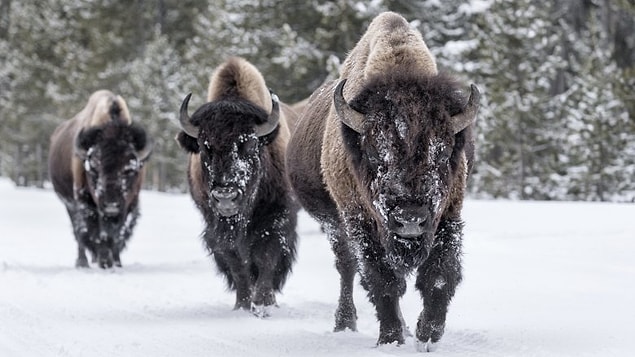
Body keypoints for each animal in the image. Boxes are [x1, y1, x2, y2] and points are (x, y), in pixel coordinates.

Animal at [48, 90, 153, 268]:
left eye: (130, 170)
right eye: (94, 169)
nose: (111, 205)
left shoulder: (128, 205)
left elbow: (117, 234)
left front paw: (115, 262)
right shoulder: (85, 203)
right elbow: (96, 233)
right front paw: (104, 261)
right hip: (69, 204)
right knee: (78, 232)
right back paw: (83, 262)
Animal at [176, 55, 300, 314]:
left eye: (250, 144)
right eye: (204, 146)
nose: (225, 196)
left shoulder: (278, 217)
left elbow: (266, 256)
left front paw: (264, 303)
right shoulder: (215, 226)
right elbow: (237, 261)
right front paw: (242, 304)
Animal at [286, 11, 480, 350]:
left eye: (443, 153)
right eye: (376, 153)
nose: (410, 218)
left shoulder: (448, 216)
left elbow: (439, 276)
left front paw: (427, 334)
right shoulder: (360, 222)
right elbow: (382, 279)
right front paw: (391, 338)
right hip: (334, 224)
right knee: (347, 267)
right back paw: (345, 322)